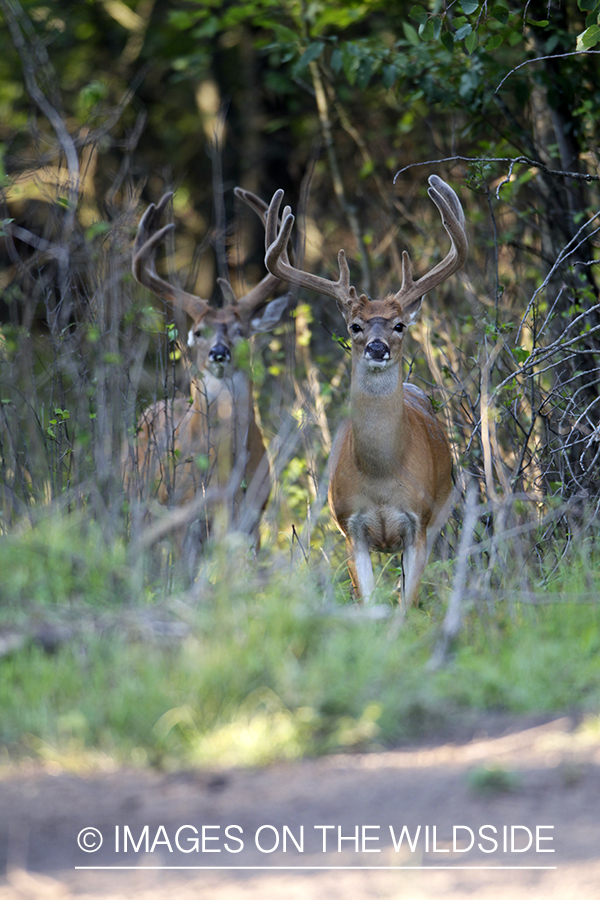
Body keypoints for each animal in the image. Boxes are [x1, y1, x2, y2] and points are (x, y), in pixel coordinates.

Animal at [125, 187, 290, 564]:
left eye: (241, 331)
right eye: (199, 332)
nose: (219, 353)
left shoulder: (252, 516)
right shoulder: (183, 514)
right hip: (139, 503)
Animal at [264, 174, 466, 612]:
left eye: (399, 325)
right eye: (355, 326)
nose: (377, 347)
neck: (381, 476)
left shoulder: (418, 523)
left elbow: (407, 605)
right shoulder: (349, 527)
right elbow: (369, 602)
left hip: (442, 515)